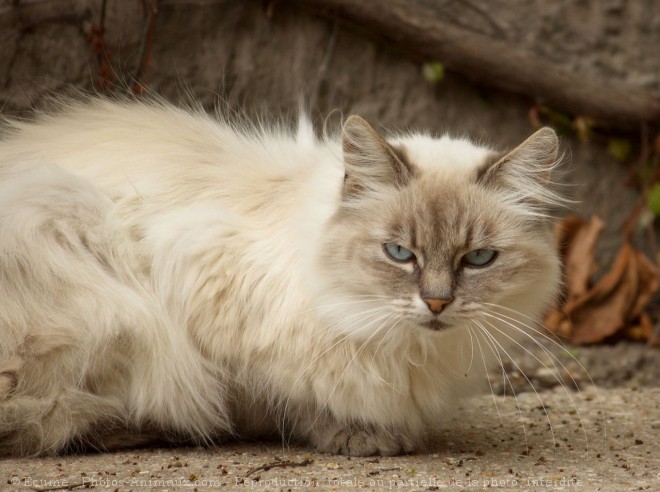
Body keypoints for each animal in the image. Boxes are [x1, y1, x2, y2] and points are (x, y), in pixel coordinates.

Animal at [0, 99, 564, 458]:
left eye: (479, 259)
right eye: (400, 253)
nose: (438, 303)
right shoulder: (194, 275)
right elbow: (280, 392)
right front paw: (357, 435)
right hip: (70, 232)